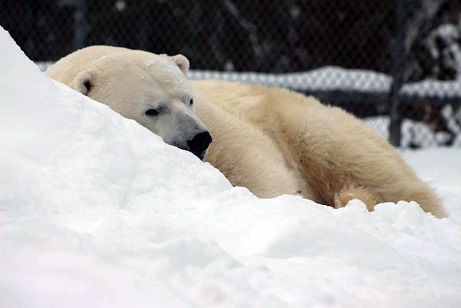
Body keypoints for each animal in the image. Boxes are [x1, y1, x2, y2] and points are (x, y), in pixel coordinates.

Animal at [46, 46, 446, 219]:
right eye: (152, 109)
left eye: (189, 99)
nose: (199, 140)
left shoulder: (226, 129)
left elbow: (261, 175)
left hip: (303, 121)